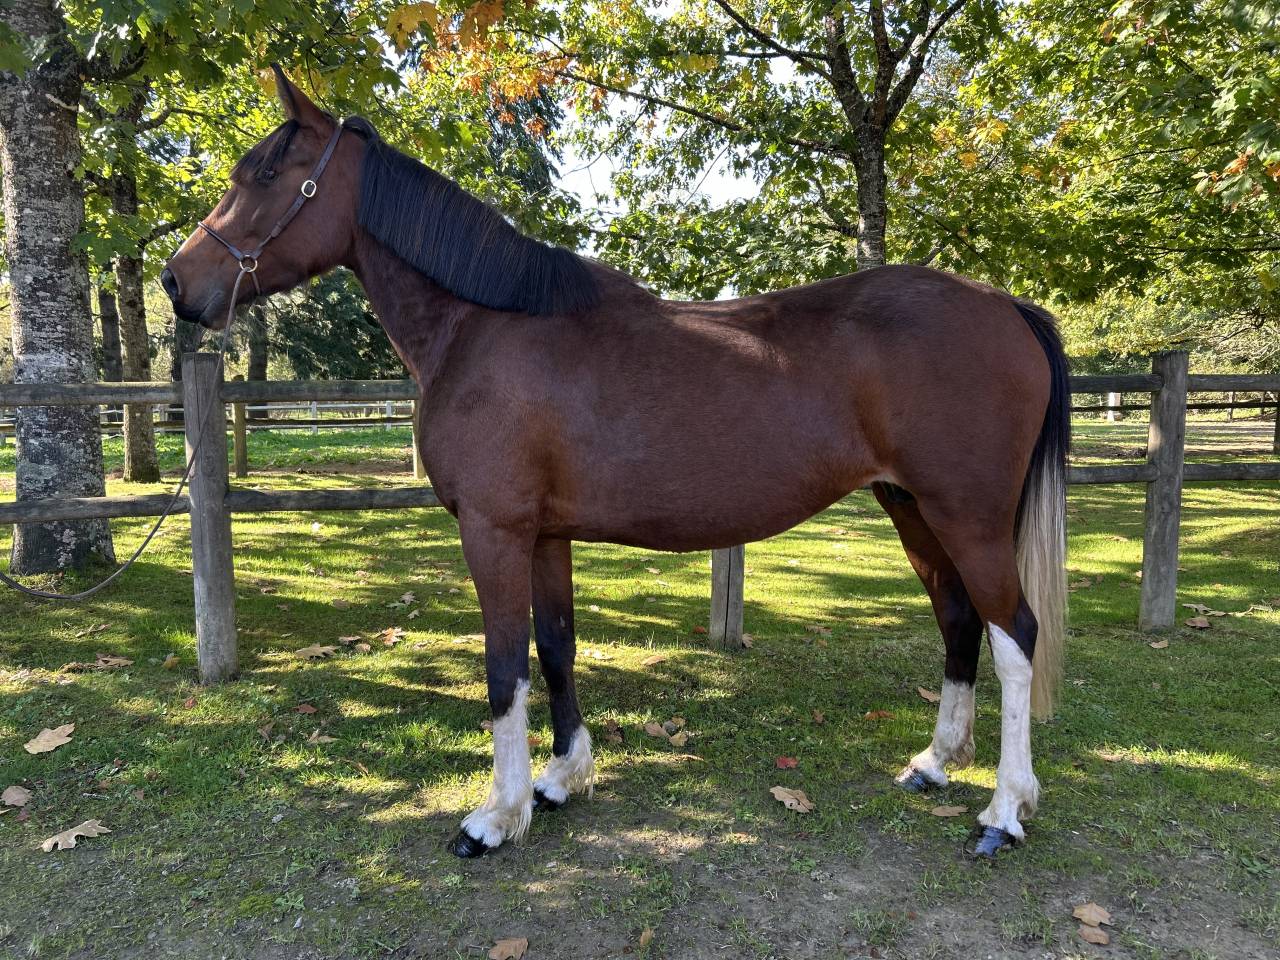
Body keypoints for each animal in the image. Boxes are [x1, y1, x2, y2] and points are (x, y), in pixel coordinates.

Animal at [162, 68, 1069, 860]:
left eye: (266, 173)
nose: (175, 283)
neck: (483, 325)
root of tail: (1006, 306)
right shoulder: (544, 535)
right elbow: (556, 646)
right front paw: (562, 779)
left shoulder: (493, 532)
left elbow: (503, 667)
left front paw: (497, 815)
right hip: (910, 507)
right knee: (959, 622)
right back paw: (935, 765)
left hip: (967, 516)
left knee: (1015, 635)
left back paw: (1004, 810)